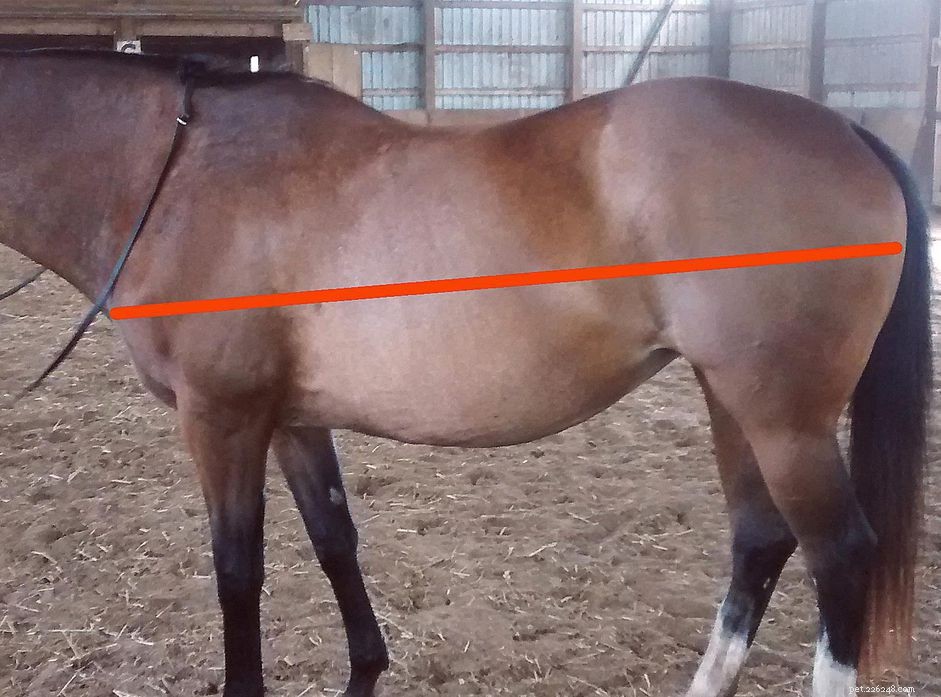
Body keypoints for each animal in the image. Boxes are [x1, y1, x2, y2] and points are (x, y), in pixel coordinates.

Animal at [0, 49, 930, 697]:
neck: (178, 177)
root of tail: (845, 131)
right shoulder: (292, 418)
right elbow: (334, 540)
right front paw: (364, 671)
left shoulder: (220, 417)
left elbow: (237, 571)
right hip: (732, 401)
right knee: (760, 540)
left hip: (784, 420)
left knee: (838, 556)